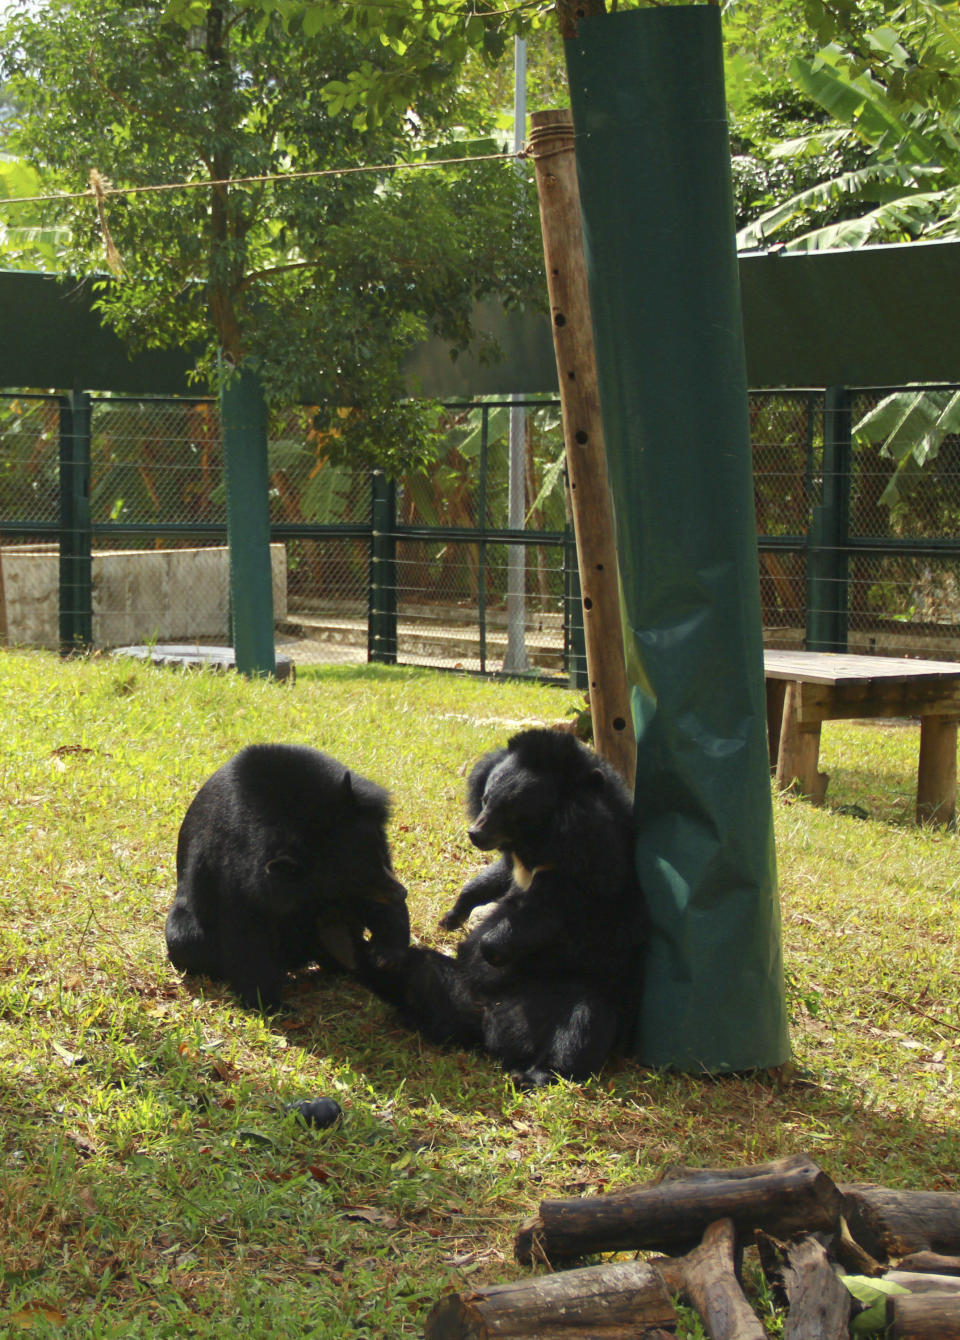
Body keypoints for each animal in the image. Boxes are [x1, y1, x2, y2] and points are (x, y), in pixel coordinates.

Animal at [164, 745, 407, 1007]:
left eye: (380, 857)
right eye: (355, 879)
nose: (402, 893)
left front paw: (385, 954)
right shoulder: (232, 870)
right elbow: (245, 932)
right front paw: (268, 1003)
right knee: (187, 942)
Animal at [359, 728, 646, 1082]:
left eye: (513, 810)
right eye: (485, 799)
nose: (475, 833)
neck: (538, 842)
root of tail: (490, 1035)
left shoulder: (591, 864)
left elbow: (543, 914)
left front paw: (489, 950)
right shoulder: (517, 863)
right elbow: (493, 877)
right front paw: (451, 919)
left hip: (585, 994)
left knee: (582, 1027)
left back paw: (536, 1074)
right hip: (454, 987)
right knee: (421, 969)